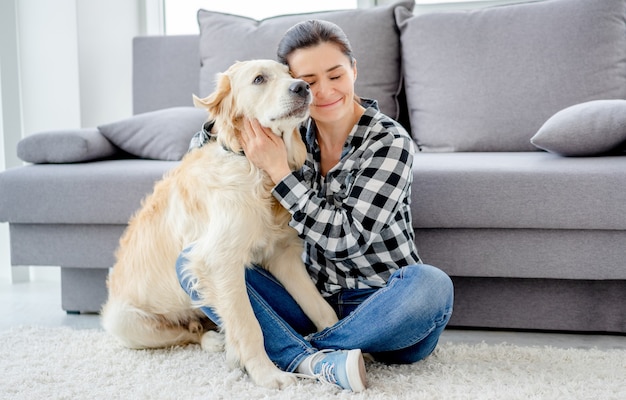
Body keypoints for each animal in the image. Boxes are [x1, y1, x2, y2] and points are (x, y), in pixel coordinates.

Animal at [100, 60, 338, 390]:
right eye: (259, 79)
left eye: (291, 74)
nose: (303, 87)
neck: (253, 166)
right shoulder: (218, 261)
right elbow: (249, 326)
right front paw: (267, 375)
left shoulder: (283, 254)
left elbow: (320, 307)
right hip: (126, 322)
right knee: (188, 333)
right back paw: (214, 340)